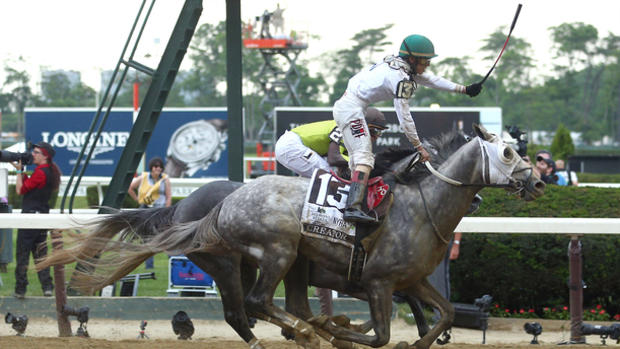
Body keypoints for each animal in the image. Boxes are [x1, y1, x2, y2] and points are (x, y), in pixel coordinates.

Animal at [40, 125, 544, 348]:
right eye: (506, 152)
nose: (537, 182)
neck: (421, 206)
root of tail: (211, 206)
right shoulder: (378, 282)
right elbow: (382, 333)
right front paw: (337, 328)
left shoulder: (411, 280)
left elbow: (441, 314)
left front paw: (415, 338)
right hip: (268, 253)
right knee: (250, 306)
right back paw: (301, 331)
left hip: (282, 262)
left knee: (259, 308)